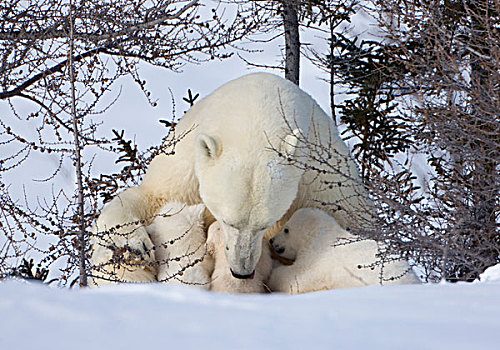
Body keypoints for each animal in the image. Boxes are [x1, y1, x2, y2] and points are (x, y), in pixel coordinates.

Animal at [90, 72, 372, 284]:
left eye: (265, 223)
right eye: (228, 220)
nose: (241, 271)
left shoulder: (322, 181)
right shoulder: (187, 168)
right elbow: (152, 198)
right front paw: (133, 244)